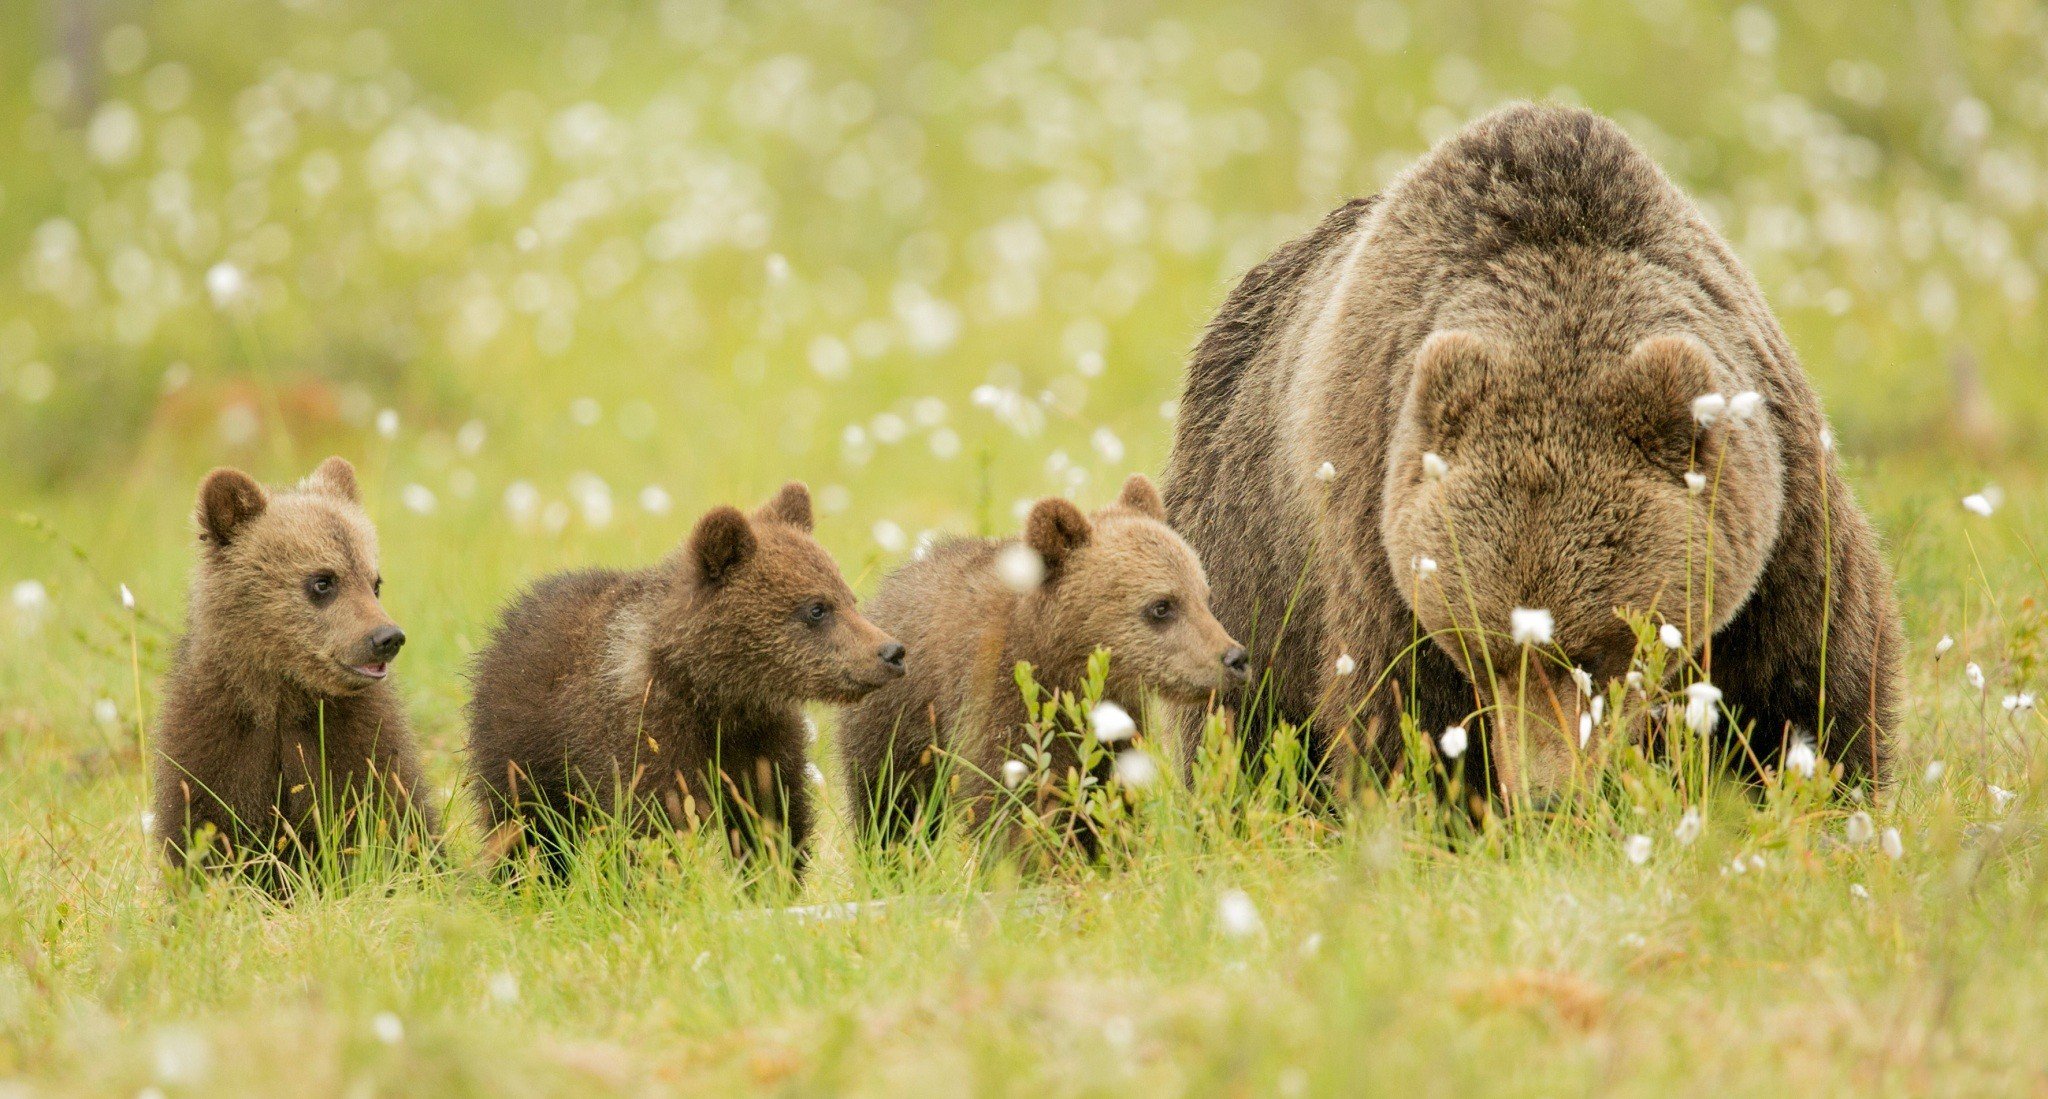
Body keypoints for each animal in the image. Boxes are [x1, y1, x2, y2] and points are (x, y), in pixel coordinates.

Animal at [152, 456, 438, 889]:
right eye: (322, 581)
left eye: (374, 582)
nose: (387, 637)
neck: (284, 698)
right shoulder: (216, 741)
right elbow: (204, 827)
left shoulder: (354, 741)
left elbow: (393, 818)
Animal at [465, 482, 903, 880]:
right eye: (816, 608)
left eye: (849, 599)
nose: (891, 652)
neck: (713, 693)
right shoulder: (647, 737)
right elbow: (652, 826)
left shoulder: (761, 740)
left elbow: (772, 819)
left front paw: (769, 881)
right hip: (524, 749)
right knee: (526, 829)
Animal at [837, 474, 1249, 852]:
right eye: (1161, 606)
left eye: (1204, 596)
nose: (1235, 658)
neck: (1061, 667)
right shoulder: (999, 702)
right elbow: (1010, 805)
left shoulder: (1116, 725)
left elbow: (1109, 798)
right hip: (897, 724)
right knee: (890, 805)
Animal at [1162, 103, 1902, 808]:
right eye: (1483, 651)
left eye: (1599, 652)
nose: (1548, 795)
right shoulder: (1377, 535)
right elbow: (1399, 713)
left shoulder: (1781, 518)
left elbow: (1806, 680)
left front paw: (1813, 784)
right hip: (1248, 544)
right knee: (1244, 714)